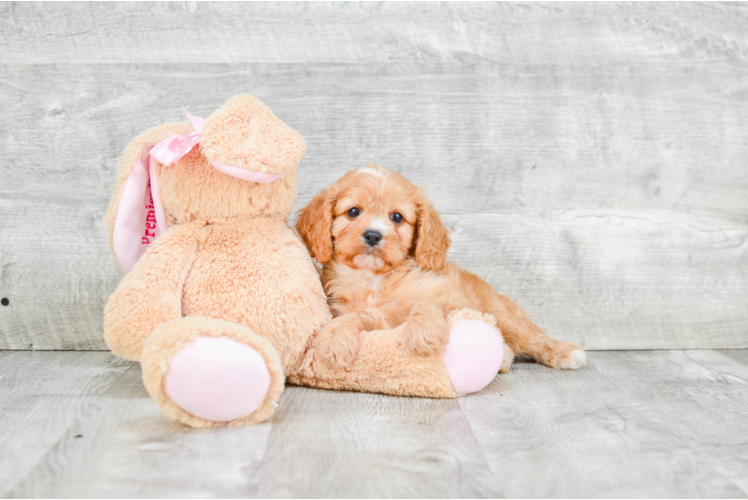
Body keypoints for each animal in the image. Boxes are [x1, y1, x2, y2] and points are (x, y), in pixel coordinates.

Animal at [296, 166, 584, 374]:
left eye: (397, 217)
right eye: (353, 212)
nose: (373, 235)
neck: (374, 279)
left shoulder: (448, 296)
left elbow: (426, 304)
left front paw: (424, 332)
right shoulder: (360, 315)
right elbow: (350, 318)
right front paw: (334, 340)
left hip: (503, 316)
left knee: (532, 338)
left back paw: (566, 353)